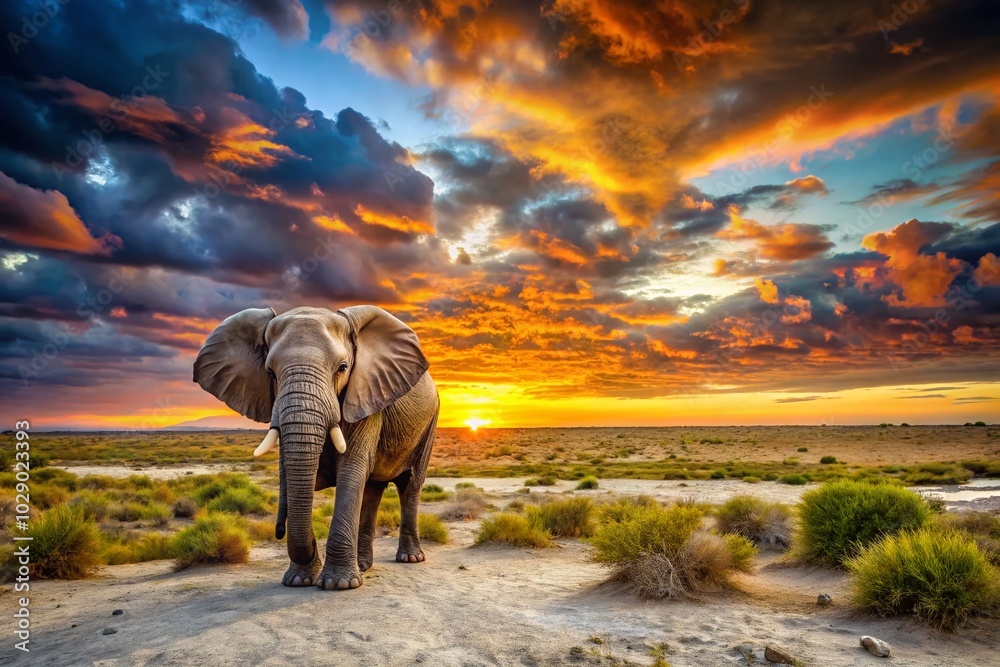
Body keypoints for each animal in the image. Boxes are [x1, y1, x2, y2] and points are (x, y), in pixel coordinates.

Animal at [193, 305, 439, 590]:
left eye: (342, 368)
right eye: (270, 373)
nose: (279, 531)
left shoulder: (364, 395)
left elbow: (350, 470)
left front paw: (338, 584)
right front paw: (299, 580)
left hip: (430, 422)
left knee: (410, 484)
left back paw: (410, 558)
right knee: (372, 489)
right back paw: (364, 565)